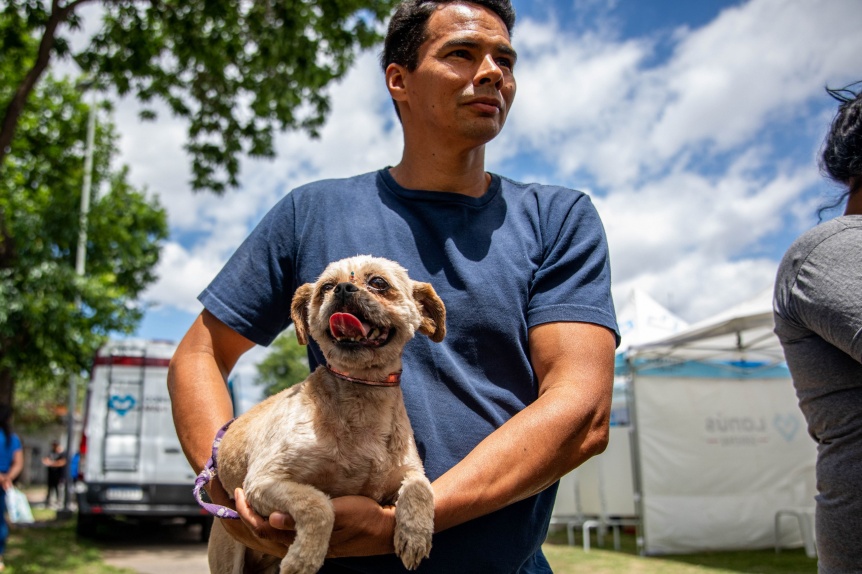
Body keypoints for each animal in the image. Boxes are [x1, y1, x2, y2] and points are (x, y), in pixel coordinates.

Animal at [208, 258, 446, 574]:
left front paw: (416, 536)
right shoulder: (262, 482)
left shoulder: (407, 472)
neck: (362, 394)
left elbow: (421, 488)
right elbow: (318, 504)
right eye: (326, 287)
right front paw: (304, 558)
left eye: (379, 283)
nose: (343, 288)